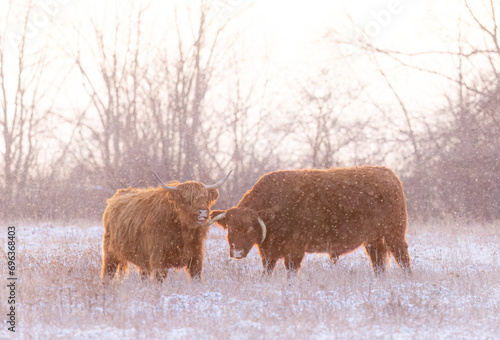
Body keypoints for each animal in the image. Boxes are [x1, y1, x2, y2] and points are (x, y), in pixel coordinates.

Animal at [102, 170, 234, 282]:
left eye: (206, 198)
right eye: (187, 199)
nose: (202, 212)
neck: (184, 232)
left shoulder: (196, 258)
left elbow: (197, 278)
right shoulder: (159, 260)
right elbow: (159, 280)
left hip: (143, 261)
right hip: (110, 254)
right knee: (107, 275)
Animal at [209, 167, 412, 276]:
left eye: (250, 228)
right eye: (230, 228)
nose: (236, 252)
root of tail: (389, 174)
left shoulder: (295, 251)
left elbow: (291, 272)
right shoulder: (269, 254)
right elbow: (266, 273)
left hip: (394, 235)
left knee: (403, 258)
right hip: (373, 241)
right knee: (378, 263)